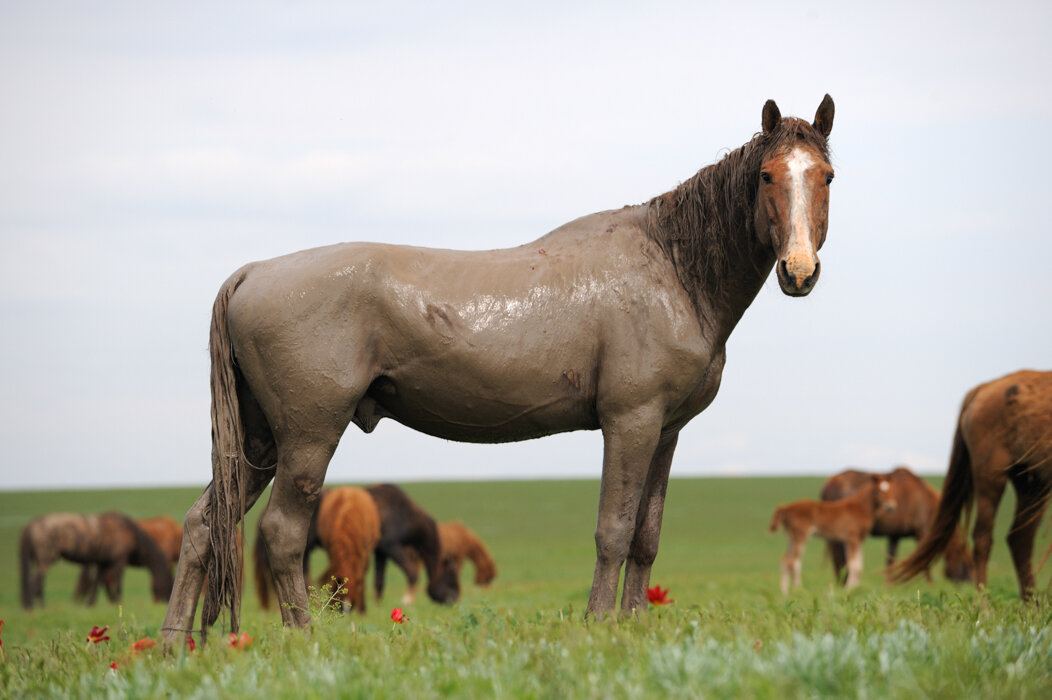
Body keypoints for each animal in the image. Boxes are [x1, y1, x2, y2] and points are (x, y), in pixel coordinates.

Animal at [19, 511, 172, 610]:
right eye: (168, 583)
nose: (165, 601)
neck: (132, 534)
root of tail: (31, 525)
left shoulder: (103, 563)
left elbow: (97, 583)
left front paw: (91, 603)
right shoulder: (119, 561)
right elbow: (117, 584)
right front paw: (118, 602)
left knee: (37, 582)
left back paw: (39, 605)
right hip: (45, 559)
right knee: (35, 582)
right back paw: (34, 606)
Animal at [162, 94, 837, 644]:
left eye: (825, 175)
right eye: (767, 174)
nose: (799, 271)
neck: (671, 268)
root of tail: (252, 272)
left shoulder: (666, 432)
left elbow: (646, 537)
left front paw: (635, 625)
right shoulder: (631, 423)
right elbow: (614, 531)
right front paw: (601, 625)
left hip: (260, 444)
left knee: (203, 524)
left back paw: (173, 646)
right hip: (306, 438)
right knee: (281, 532)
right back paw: (305, 640)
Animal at [816, 467, 972, 581]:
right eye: (966, 561)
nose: (970, 580)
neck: (925, 502)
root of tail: (828, 483)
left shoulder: (894, 535)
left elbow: (890, 560)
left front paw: (888, 584)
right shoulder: (922, 532)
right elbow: (924, 561)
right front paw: (930, 584)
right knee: (839, 560)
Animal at [892, 368, 1052, 597]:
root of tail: (984, 387)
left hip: (1032, 481)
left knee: (1020, 539)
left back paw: (1033, 604)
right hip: (992, 476)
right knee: (984, 538)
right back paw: (984, 604)